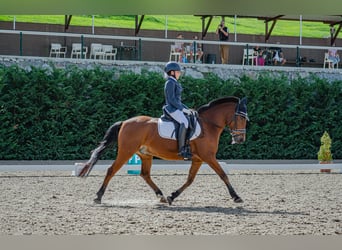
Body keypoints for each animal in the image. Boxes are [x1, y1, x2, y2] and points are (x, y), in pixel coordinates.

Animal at [78, 96, 247, 205]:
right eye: (241, 118)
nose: (240, 139)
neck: (208, 125)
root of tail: (125, 122)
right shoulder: (209, 156)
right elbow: (223, 175)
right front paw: (236, 197)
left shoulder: (199, 159)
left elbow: (190, 179)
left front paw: (173, 196)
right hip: (126, 152)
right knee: (111, 170)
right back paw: (98, 196)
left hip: (145, 155)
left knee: (145, 174)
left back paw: (161, 196)